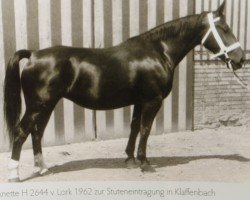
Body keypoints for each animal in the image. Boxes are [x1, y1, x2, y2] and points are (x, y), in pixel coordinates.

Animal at [3, 1, 244, 182]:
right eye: (225, 29)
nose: (240, 59)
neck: (158, 52)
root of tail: (33, 54)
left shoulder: (139, 101)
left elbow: (134, 127)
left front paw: (130, 159)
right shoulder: (152, 101)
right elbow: (145, 130)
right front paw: (145, 163)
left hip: (47, 105)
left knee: (37, 133)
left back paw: (42, 168)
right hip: (38, 105)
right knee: (22, 132)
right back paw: (15, 174)